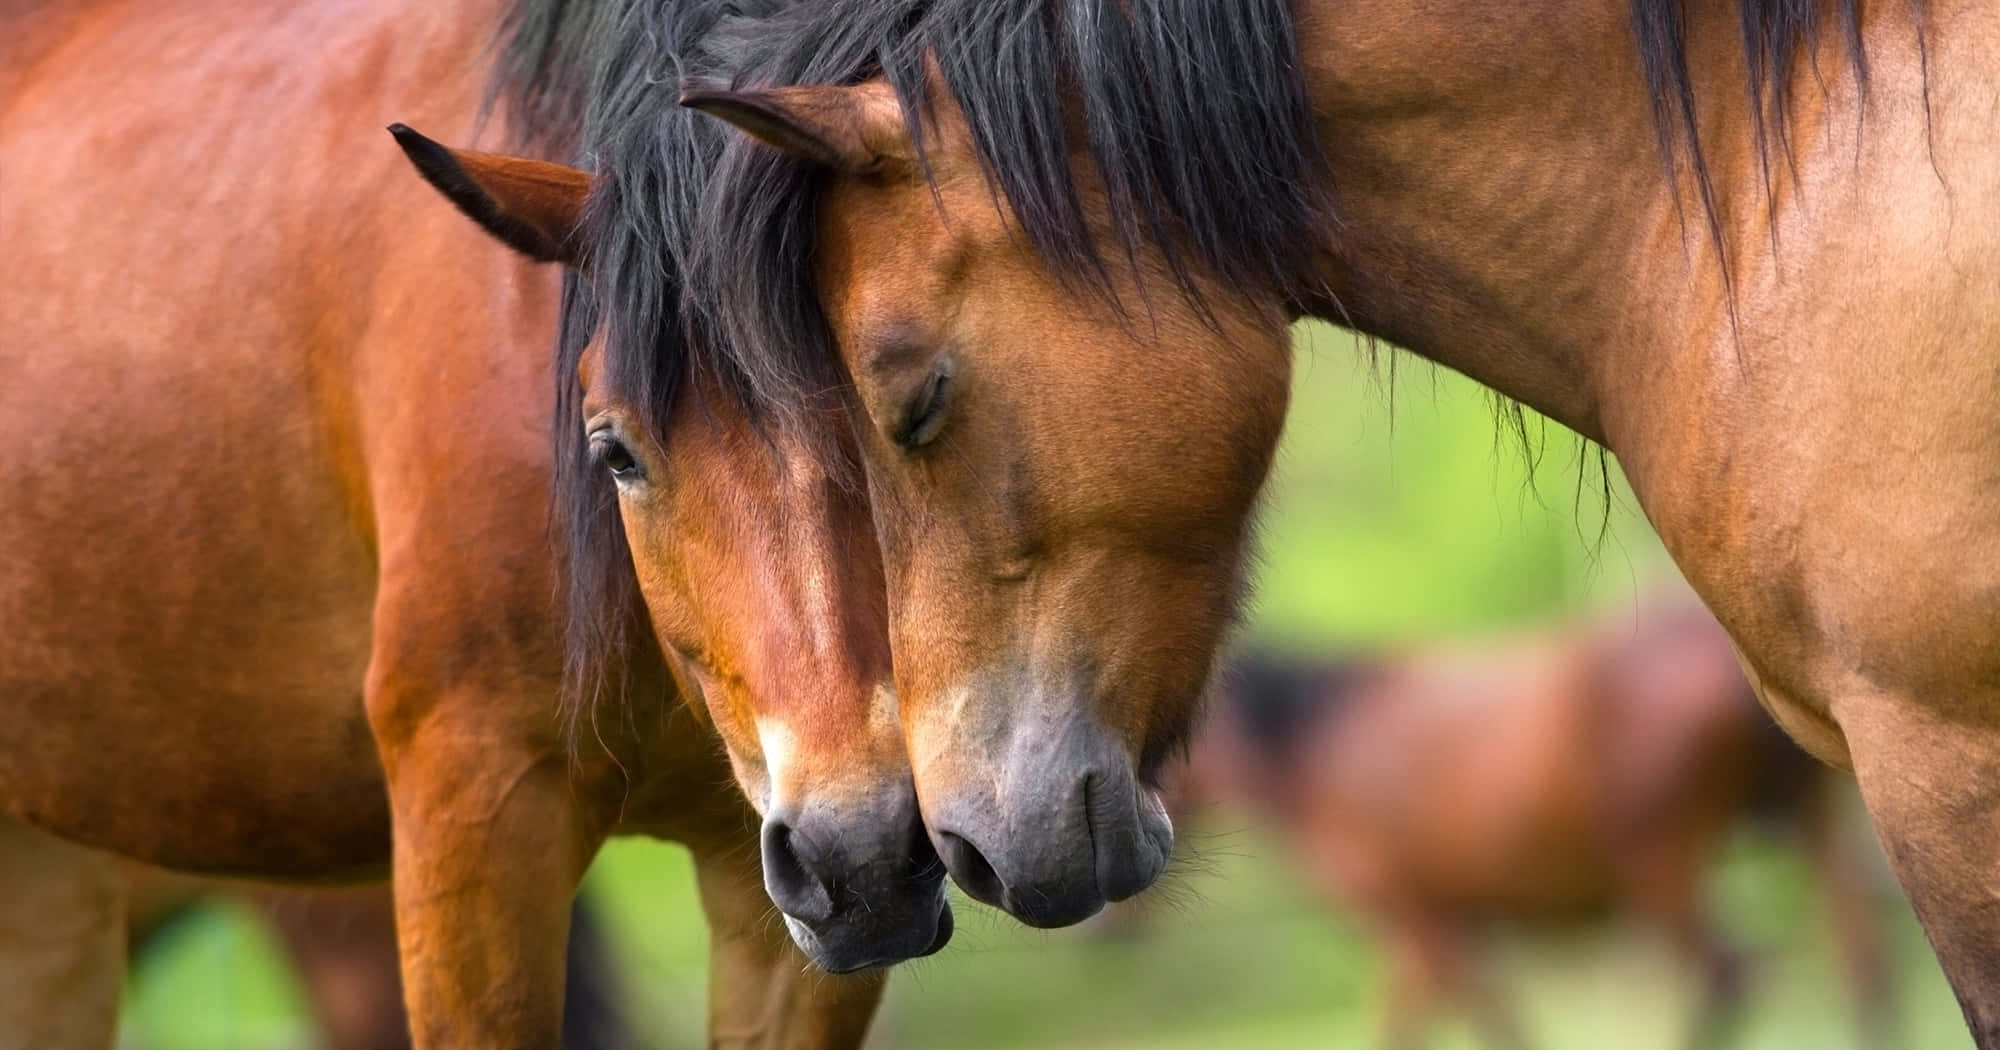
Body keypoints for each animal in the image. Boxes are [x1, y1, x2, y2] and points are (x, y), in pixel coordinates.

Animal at [1178, 604, 1895, 1049]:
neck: (1318, 741)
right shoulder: (1442, 926)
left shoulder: (1415, 920)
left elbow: (1482, 1020)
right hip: (1807, 826)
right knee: (1860, 966)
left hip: (1661, 868)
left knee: (1731, 976)